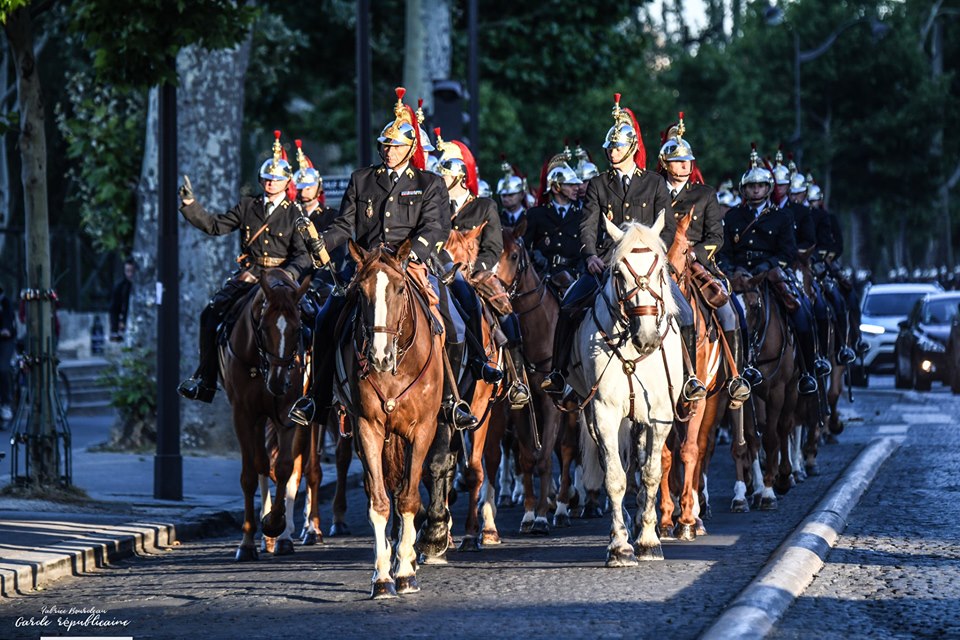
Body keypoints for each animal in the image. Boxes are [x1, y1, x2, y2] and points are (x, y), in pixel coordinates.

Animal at [218, 268, 310, 560]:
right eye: (262, 327)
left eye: (297, 328)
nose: (279, 384)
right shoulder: (244, 415)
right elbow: (250, 473)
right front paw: (247, 541)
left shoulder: (289, 412)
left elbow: (284, 468)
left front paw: (276, 524)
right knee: (260, 464)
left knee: (296, 467)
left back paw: (284, 534)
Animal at [336, 241, 444, 600]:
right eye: (361, 291)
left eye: (399, 288)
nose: (379, 356)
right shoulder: (367, 427)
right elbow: (380, 502)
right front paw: (383, 576)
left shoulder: (423, 430)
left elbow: (408, 499)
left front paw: (406, 572)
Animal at [568, 218, 684, 568]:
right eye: (618, 272)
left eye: (659, 271)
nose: (647, 338)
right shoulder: (604, 412)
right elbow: (615, 478)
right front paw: (620, 547)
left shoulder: (659, 416)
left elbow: (651, 474)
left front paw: (649, 541)